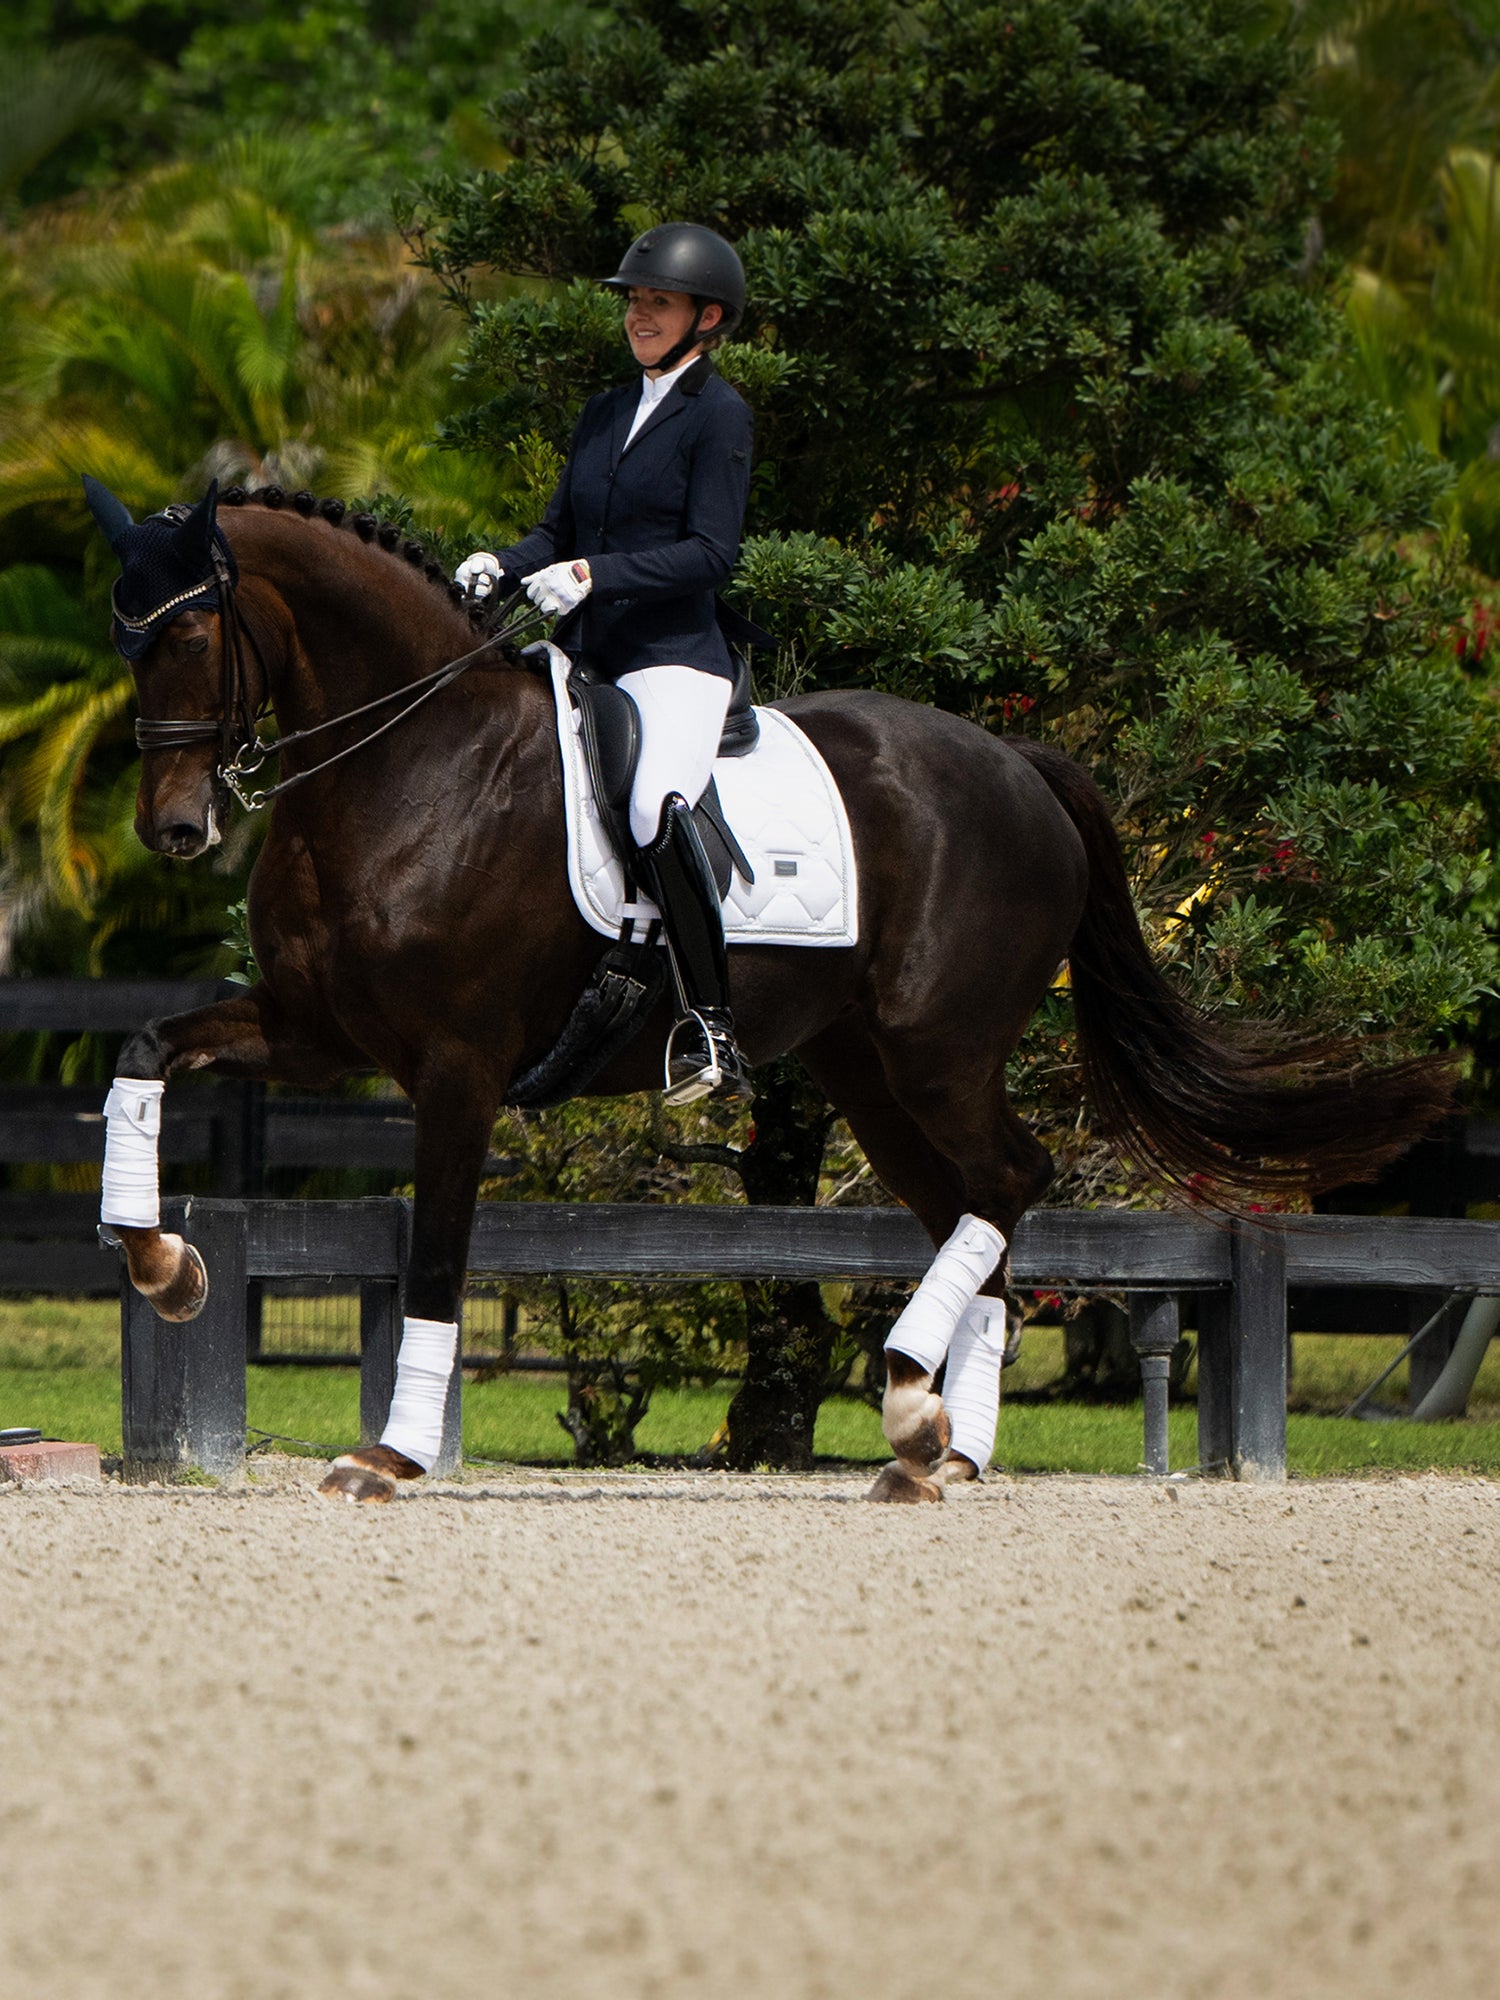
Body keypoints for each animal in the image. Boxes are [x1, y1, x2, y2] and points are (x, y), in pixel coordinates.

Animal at [94, 484, 1456, 1504]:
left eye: (193, 636)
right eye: (127, 640)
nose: (174, 829)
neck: (412, 763)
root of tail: (1022, 764)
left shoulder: (457, 1070)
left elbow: (433, 1255)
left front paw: (387, 1454)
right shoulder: (315, 1032)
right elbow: (145, 1048)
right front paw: (164, 1263)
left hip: (937, 1051)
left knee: (1014, 1177)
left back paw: (911, 1395)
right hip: (873, 1072)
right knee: (979, 1205)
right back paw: (942, 1450)